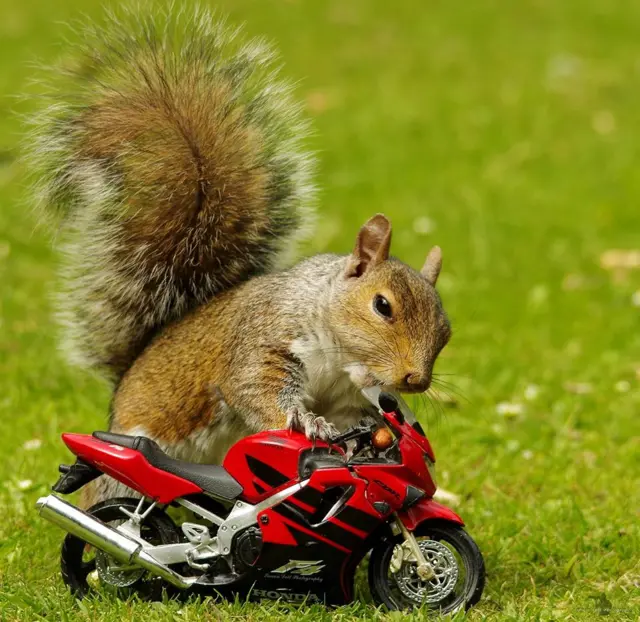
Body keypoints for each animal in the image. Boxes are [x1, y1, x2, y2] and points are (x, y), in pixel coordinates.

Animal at [28, 8, 450, 508]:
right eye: (382, 305)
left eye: (445, 330)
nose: (415, 380)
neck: (342, 359)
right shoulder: (265, 336)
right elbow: (255, 386)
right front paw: (307, 423)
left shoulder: (351, 399)